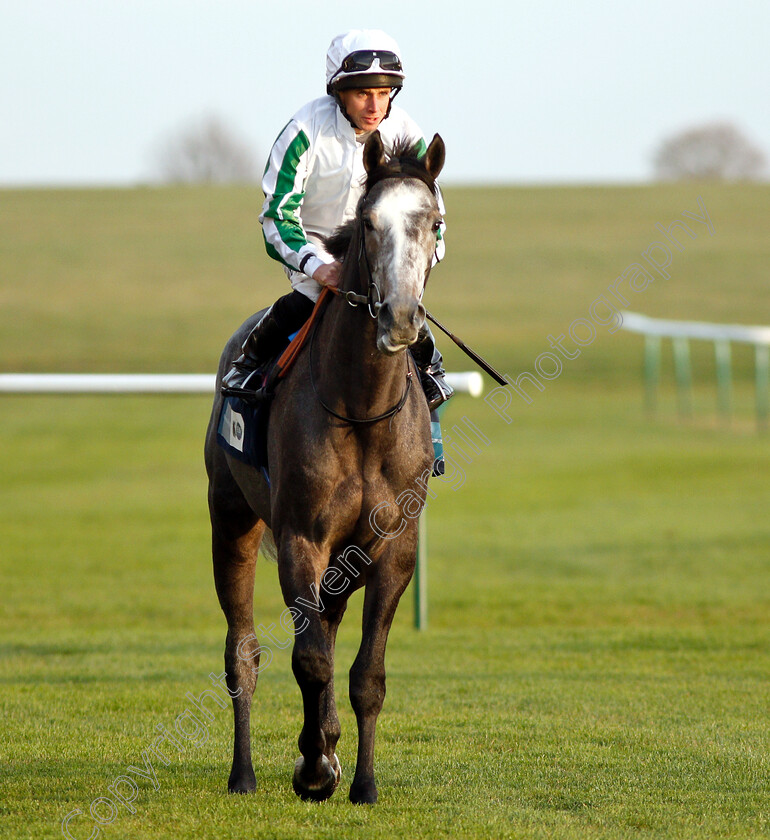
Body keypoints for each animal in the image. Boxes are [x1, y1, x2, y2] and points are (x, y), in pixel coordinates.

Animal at [204, 128, 444, 804]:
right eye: (367, 222)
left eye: (433, 222)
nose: (400, 318)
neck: (360, 409)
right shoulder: (300, 538)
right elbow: (308, 659)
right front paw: (312, 768)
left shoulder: (391, 548)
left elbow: (366, 672)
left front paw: (358, 779)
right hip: (231, 523)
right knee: (243, 653)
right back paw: (244, 773)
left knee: (328, 632)